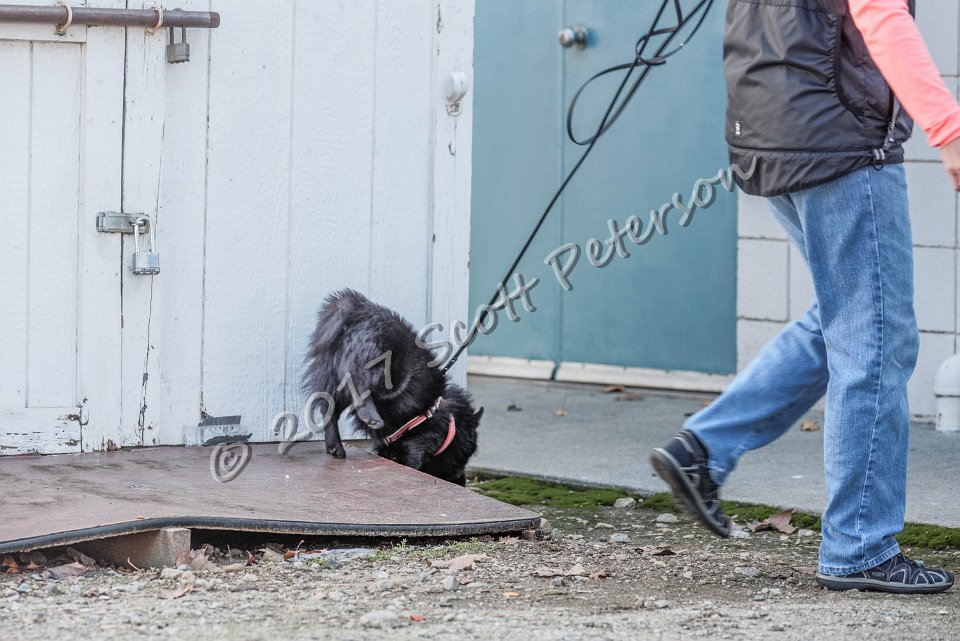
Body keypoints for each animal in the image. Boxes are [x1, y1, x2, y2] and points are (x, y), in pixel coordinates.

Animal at [303, 289, 482, 486]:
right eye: (465, 455)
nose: (462, 479)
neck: (450, 425)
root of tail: (360, 310)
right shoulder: (418, 446)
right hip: (378, 365)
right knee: (359, 383)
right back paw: (370, 417)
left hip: (333, 374)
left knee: (330, 409)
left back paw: (335, 447)